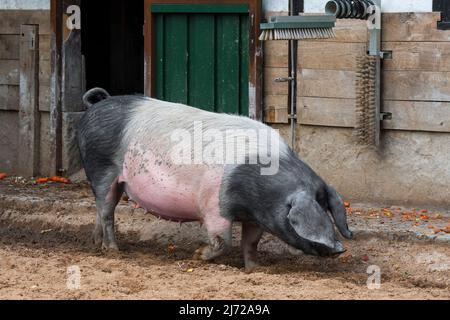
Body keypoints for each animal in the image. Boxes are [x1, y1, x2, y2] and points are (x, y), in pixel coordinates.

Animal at [77, 88, 352, 272]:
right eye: (317, 209)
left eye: (325, 206)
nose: (340, 249)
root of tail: (96, 105)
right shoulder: (214, 206)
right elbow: (223, 242)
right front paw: (197, 255)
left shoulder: (257, 217)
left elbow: (250, 243)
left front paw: (254, 269)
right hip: (101, 170)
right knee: (106, 211)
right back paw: (113, 250)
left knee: (101, 209)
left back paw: (96, 243)